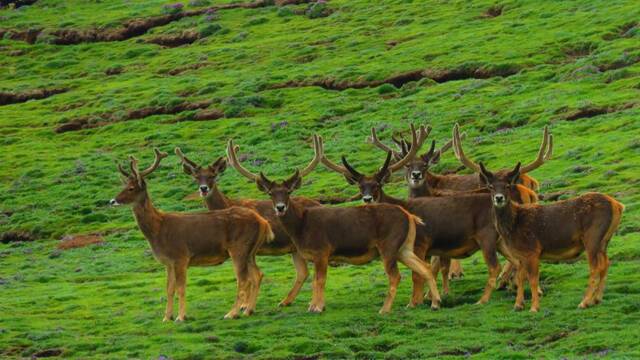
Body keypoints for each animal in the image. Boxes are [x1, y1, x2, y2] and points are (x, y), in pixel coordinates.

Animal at [109, 148, 274, 322]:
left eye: (131, 188)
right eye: (123, 185)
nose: (112, 201)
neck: (158, 230)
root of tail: (263, 222)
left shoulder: (181, 256)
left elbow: (181, 288)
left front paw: (181, 317)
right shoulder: (168, 263)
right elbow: (169, 289)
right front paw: (166, 317)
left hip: (239, 248)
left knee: (243, 280)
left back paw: (232, 313)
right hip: (250, 251)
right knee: (257, 275)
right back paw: (249, 310)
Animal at [174, 145, 320, 308]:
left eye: (213, 175)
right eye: (196, 177)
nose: (203, 188)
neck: (228, 204)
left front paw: (244, 305)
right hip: (294, 248)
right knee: (303, 272)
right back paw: (285, 301)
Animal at [224, 134, 440, 314]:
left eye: (288, 192)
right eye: (271, 193)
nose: (280, 207)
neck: (301, 228)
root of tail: (410, 217)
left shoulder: (322, 250)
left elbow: (319, 280)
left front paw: (317, 307)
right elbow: (314, 280)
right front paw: (314, 305)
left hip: (388, 245)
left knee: (396, 275)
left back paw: (385, 309)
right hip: (404, 247)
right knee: (423, 267)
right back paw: (435, 302)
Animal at [320, 127, 516, 306]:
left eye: (377, 185)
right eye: (360, 187)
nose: (367, 199)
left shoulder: (421, 243)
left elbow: (418, 274)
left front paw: (416, 302)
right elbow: (425, 271)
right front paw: (425, 298)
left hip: (487, 237)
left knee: (497, 265)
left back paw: (487, 296)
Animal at [478, 162, 624, 310]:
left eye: (508, 185)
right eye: (491, 186)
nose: (499, 198)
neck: (512, 228)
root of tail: (618, 205)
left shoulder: (533, 250)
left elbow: (533, 279)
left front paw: (534, 307)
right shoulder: (521, 255)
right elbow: (521, 277)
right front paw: (518, 304)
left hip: (592, 236)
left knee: (595, 267)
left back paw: (585, 302)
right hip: (604, 240)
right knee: (606, 263)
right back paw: (597, 299)